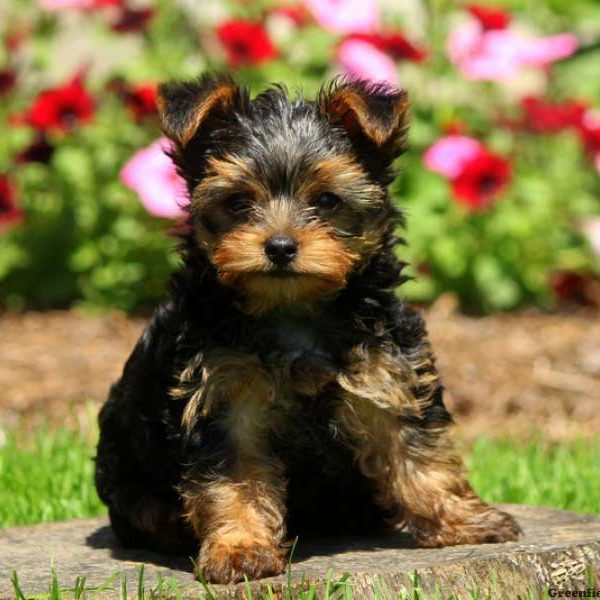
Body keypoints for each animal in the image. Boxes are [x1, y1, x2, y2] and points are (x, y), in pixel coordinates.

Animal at [94, 72, 520, 584]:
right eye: (238, 201)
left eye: (327, 200)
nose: (280, 246)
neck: (292, 309)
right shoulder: (223, 396)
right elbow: (234, 479)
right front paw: (240, 549)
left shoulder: (389, 374)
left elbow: (421, 453)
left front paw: (462, 519)